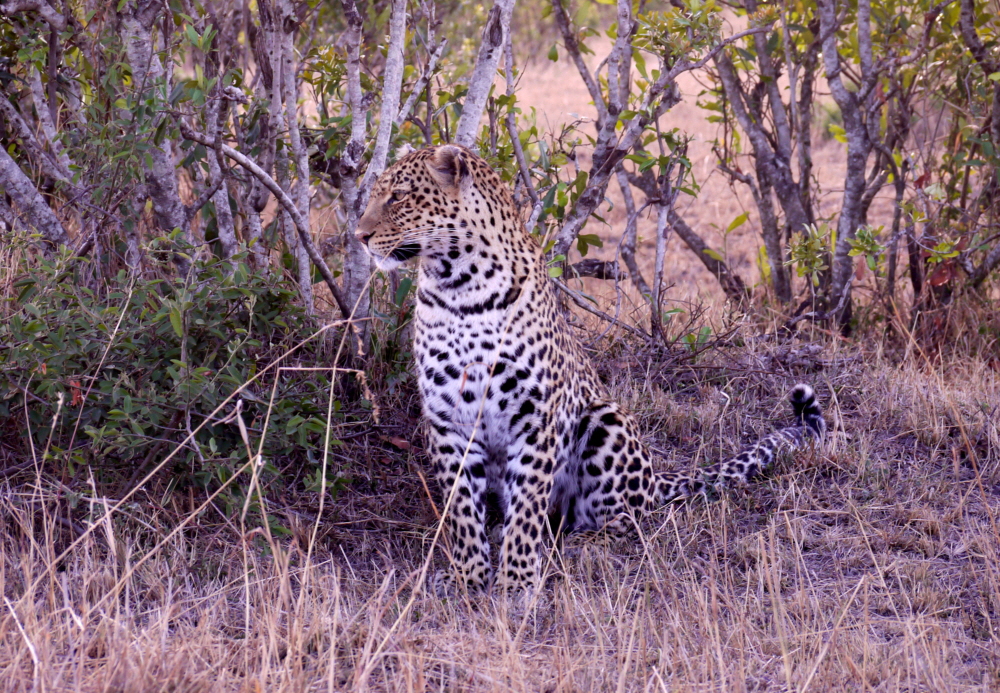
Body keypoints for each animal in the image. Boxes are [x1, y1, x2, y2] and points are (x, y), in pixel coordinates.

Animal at [356, 145, 824, 596]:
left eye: (398, 196)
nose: (359, 236)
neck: (459, 286)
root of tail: (654, 478)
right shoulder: (447, 418)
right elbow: (461, 513)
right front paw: (466, 577)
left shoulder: (536, 417)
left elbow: (526, 508)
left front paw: (516, 582)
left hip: (606, 421)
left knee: (623, 520)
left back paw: (578, 544)